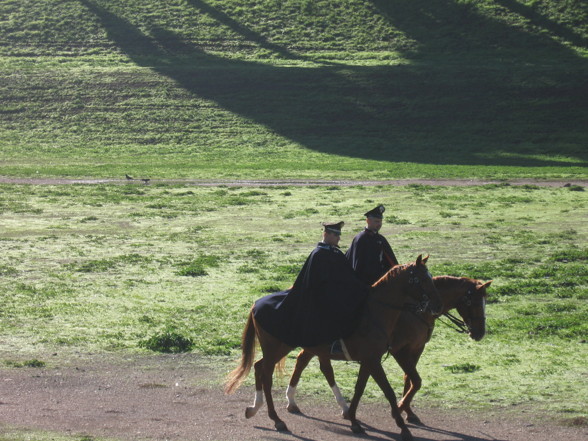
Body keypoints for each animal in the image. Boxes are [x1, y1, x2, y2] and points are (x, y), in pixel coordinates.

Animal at [225, 254, 440, 440]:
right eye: (422, 279)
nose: (435, 306)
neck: (375, 312)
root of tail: (256, 304)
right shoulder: (374, 360)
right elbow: (388, 391)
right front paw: (402, 426)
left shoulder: (369, 360)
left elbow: (359, 389)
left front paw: (353, 420)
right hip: (277, 348)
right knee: (266, 375)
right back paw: (276, 419)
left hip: (280, 349)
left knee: (260, 367)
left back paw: (255, 408)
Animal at [284, 276, 492, 422]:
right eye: (472, 302)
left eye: (485, 302)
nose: (480, 333)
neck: (416, 311)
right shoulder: (399, 350)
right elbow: (416, 381)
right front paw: (399, 408)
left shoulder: (416, 349)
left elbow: (410, 379)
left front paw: (408, 411)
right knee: (308, 362)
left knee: (309, 362)